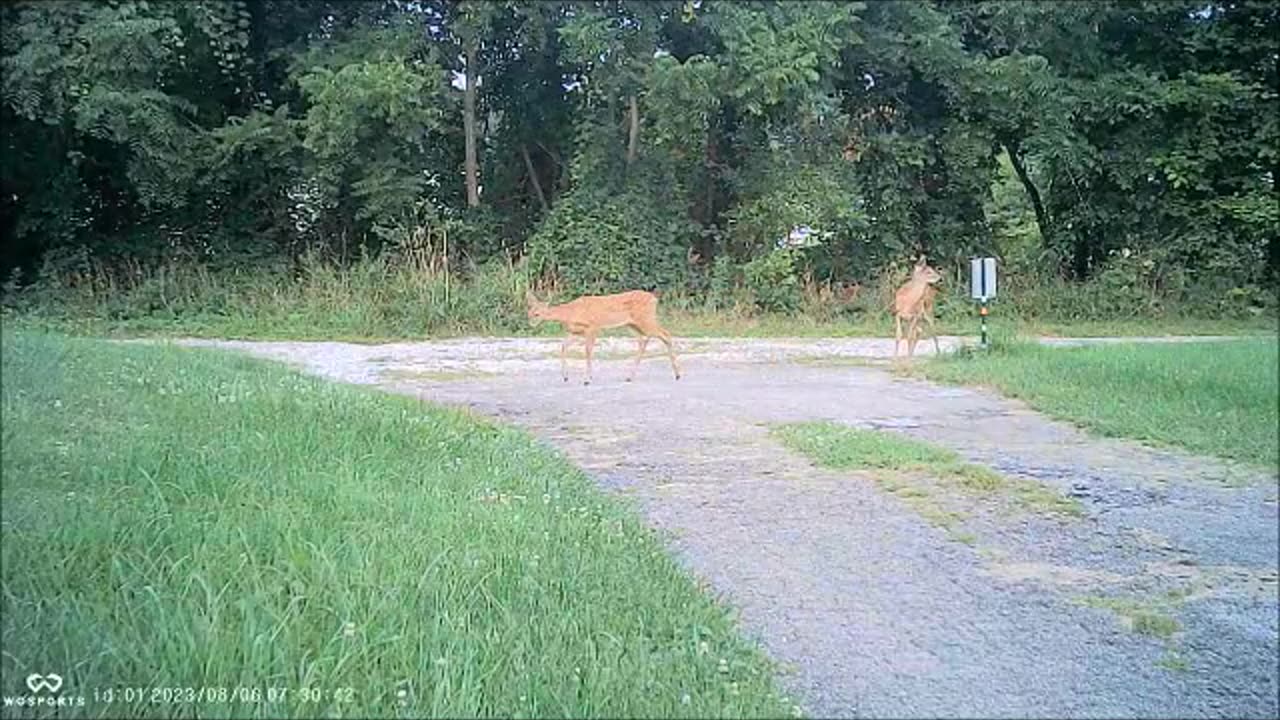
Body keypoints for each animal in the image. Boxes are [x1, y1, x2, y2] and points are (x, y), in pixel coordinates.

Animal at [522, 288, 680, 384]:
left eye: (537, 314)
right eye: (529, 312)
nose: (530, 323)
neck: (571, 313)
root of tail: (654, 299)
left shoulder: (593, 327)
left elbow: (588, 351)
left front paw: (587, 379)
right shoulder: (576, 332)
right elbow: (563, 347)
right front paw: (565, 377)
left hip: (646, 319)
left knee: (666, 334)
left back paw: (678, 374)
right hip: (633, 324)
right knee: (644, 341)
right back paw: (629, 377)